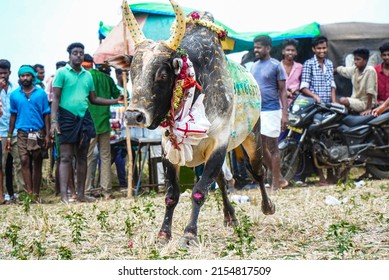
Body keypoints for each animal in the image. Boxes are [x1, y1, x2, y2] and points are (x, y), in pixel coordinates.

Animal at [107, 0, 274, 245]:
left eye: (163, 74)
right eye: (132, 73)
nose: (132, 116)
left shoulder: (219, 143)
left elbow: (199, 191)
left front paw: (189, 233)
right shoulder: (168, 151)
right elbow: (172, 195)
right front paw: (164, 233)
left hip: (252, 137)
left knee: (258, 171)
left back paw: (267, 206)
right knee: (222, 179)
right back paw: (230, 217)